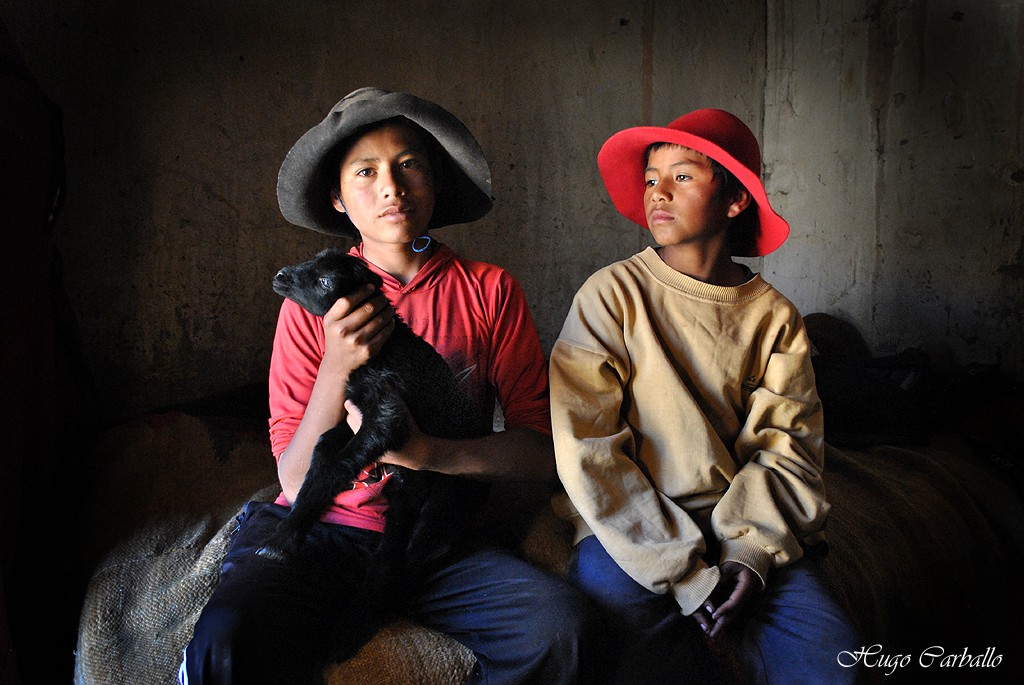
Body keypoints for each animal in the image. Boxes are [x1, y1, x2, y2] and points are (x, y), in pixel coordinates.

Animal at [260, 248, 491, 593]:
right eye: (312, 259)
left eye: (324, 281)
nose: (280, 276)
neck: (384, 348)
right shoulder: (354, 412)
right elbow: (323, 451)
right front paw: (291, 527)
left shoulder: (386, 411)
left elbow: (338, 464)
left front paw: (280, 542)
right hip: (407, 491)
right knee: (398, 530)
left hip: (445, 499)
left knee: (424, 547)